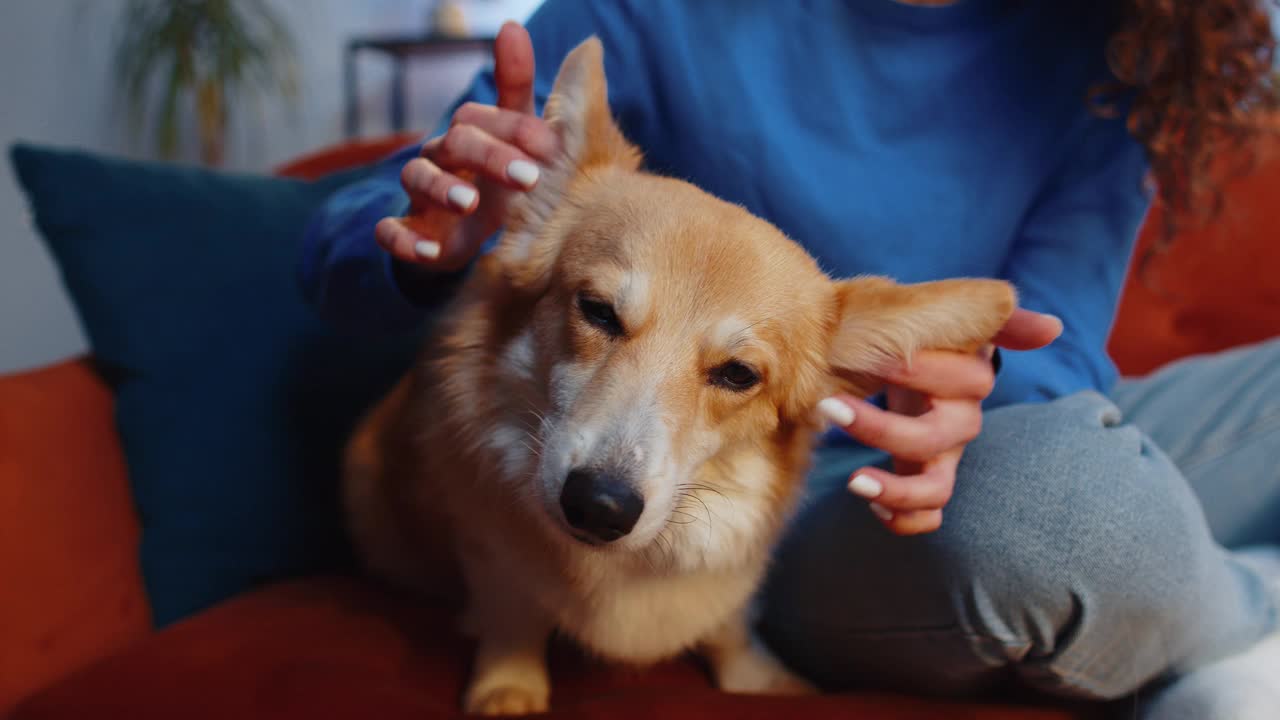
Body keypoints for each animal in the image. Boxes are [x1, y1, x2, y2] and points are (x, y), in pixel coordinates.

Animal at [343, 37, 1018, 712]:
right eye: (597, 310)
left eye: (738, 375)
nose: (600, 506)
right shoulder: (490, 553)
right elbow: (514, 612)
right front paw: (508, 688)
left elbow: (728, 627)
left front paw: (761, 678)